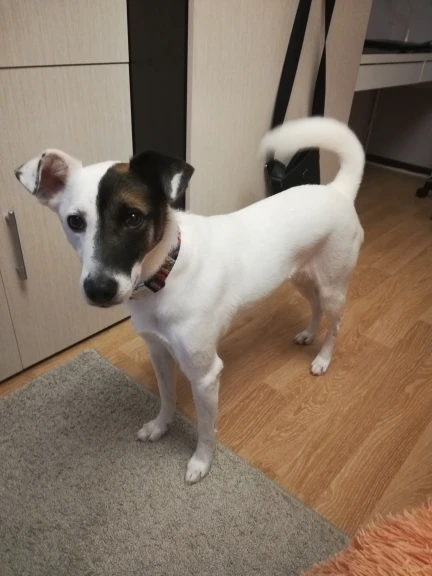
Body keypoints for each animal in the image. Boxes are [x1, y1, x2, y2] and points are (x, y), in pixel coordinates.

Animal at [15, 117, 365, 483]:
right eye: (75, 221)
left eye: (133, 218)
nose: (99, 289)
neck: (164, 274)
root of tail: (337, 190)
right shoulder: (159, 353)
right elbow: (166, 397)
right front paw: (160, 427)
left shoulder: (205, 374)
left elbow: (207, 429)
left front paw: (201, 463)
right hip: (300, 276)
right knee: (314, 307)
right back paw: (308, 334)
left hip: (332, 285)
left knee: (336, 323)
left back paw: (323, 358)